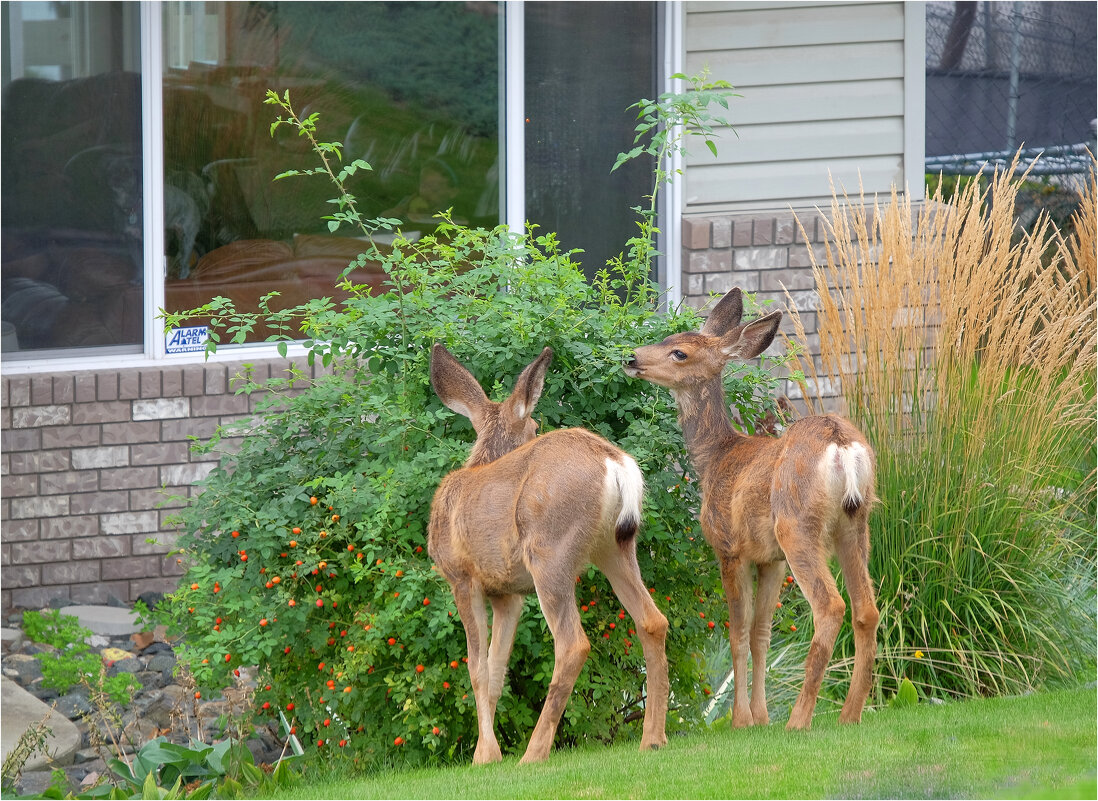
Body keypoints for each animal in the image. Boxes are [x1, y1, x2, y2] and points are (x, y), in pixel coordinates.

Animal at [426, 342, 667, 759]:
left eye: (535, 427)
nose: (538, 429)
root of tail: (615, 463)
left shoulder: (463, 577)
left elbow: (476, 668)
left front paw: (484, 756)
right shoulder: (507, 593)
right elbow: (496, 671)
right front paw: (487, 754)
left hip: (549, 552)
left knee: (573, 645)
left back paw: (533, 753)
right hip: (615, 547)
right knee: (653, 621)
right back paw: (652, 738)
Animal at [623, 289, 878, 728]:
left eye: (679, 352)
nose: (631, 358)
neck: (715, 459)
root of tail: (841, 445)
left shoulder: (730, 549)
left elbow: (737, 634)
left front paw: (741, 719)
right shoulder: (770, 559)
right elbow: (762, 635)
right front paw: (761, 718)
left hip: (797, 525)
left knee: (831, 606)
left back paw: (799, 720)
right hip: (855, 523)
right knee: (866, 609)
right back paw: (849, 715)